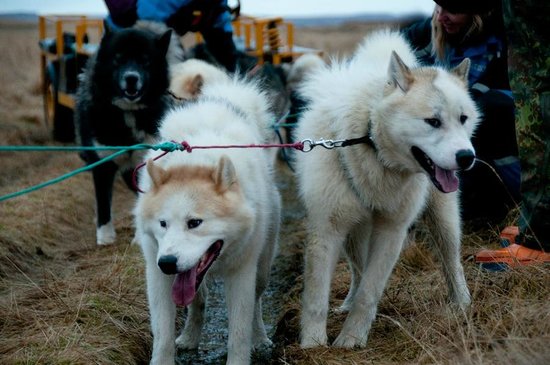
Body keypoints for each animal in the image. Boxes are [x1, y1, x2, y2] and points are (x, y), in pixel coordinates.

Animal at [133, 74, 280, 364]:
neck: (193, 162)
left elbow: (239, 334)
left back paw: (260, 338)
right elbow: (162, 336)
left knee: (257, 302)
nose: (167, 263)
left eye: (195, 223)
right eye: (163, 224)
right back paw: (190, 337)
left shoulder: (241, 274)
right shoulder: (157, 277)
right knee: (199, 301)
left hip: (261, 269)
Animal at [296, 30, 480, 346]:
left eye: (463, 119)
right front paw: (313, 345)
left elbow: (370, 292)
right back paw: (346, 304)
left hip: (443, 221)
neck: (370, 144)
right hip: (353, 234)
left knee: (451, 259)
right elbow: (316, 298)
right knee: (357, 270)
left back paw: (462, 301)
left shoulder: (391, 232)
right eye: (433, 121)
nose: (467, 157)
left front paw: (351, 339)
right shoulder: (327, 228)